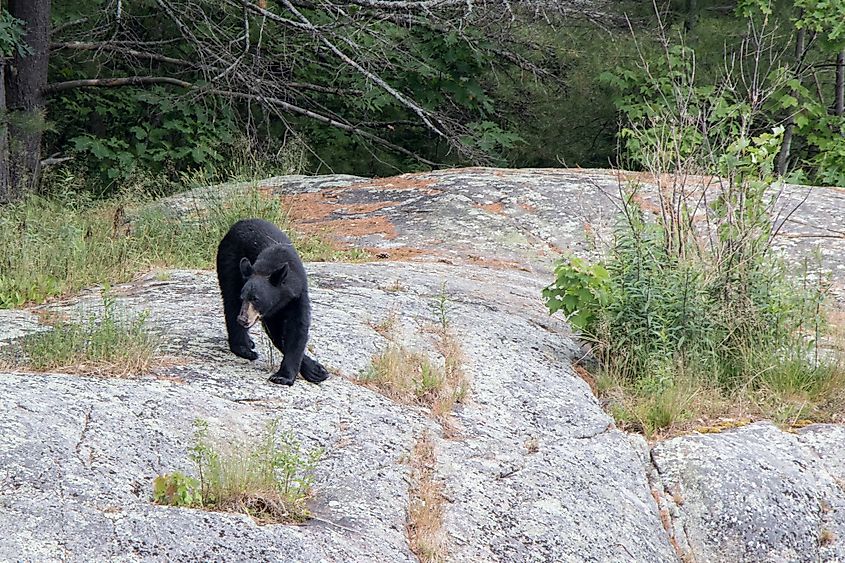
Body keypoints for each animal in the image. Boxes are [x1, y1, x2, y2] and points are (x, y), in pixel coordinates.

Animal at [216, 218, 328, 386]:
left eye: (256, 299)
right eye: (244, 298)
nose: (243, 319)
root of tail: (239, 223)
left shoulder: (298, 294)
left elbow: (297, 328)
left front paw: (307, 372)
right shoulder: (270, 310)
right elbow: (278, 331)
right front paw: (311, 370)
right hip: (229, 262)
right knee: (230, 299)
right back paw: (244, 348)